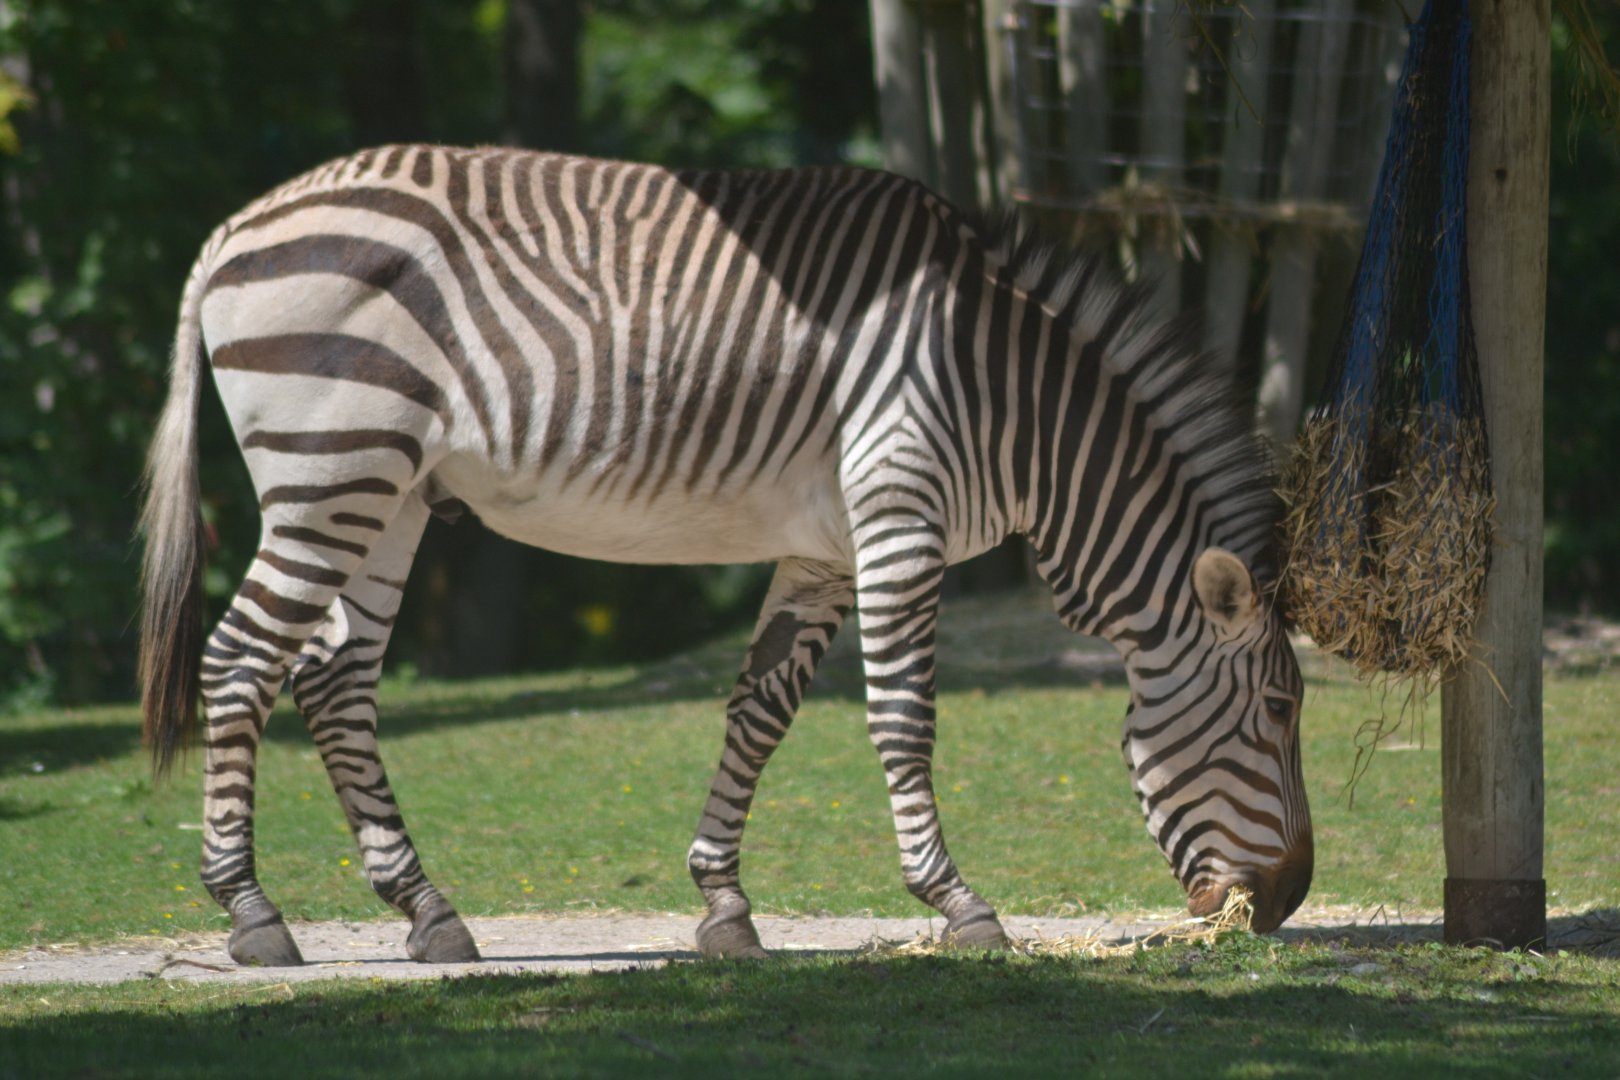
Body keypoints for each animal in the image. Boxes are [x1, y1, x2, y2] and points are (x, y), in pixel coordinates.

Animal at [139, 145, 1313, 967]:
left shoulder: (827, 547)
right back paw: (252, 913)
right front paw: (958, 904)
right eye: (1280, 708)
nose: (1287, 902)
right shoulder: (900, 516)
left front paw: (724, 904)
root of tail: (235, 227)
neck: (1013, 402)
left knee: (334, 679)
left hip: (389, 494)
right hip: (331, 469)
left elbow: (761, 710)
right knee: (240, 661)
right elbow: (904, 718)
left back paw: (428, 913)